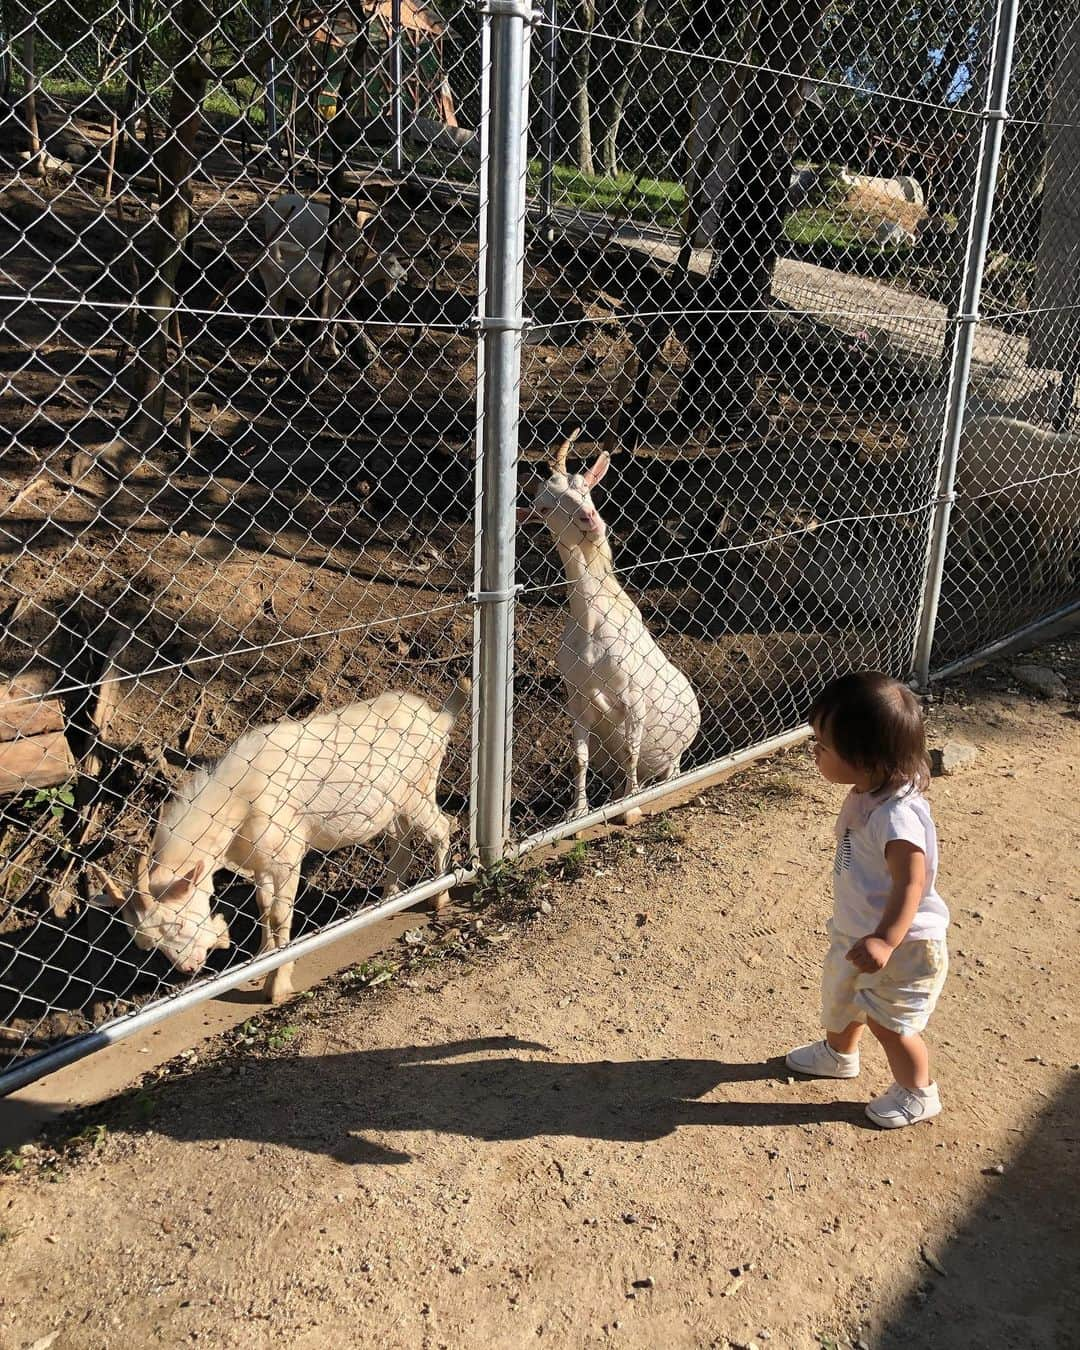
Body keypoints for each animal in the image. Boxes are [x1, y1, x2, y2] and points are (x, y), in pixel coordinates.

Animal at [90, 685, 467, 1004]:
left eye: (179, 923)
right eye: (149, 944)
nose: (189, 967)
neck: (238, 798)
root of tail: (436, 720)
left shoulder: (286, 857)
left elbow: (279, 914)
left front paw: (277, 984)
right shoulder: (259, 860)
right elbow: (262, 906)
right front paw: (260, 959)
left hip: (418, 788)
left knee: (440, 827)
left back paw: (439, 895)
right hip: (394, 803)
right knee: (399, 840)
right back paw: (389, 897)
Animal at [253, 193, 405, 359]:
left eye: (360, 240)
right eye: (391, 262)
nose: (404, 277)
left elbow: (327, 323)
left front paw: (323, 344)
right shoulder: (332, 300)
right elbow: (330, 325)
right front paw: (333, 350)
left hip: (282, 289)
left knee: (278, 308)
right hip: (273, 284)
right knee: (267, 310)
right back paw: (274, 340)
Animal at [521, 432, 702, 820]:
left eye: (584, 486)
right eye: (543, 508)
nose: (588, 519)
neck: (594, 623)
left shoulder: (633, 700)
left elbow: (632, 751)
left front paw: (629, 809)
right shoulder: (577, 701)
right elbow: (579, 758)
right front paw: (577, 811)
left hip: (676, 756)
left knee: (665, 770)